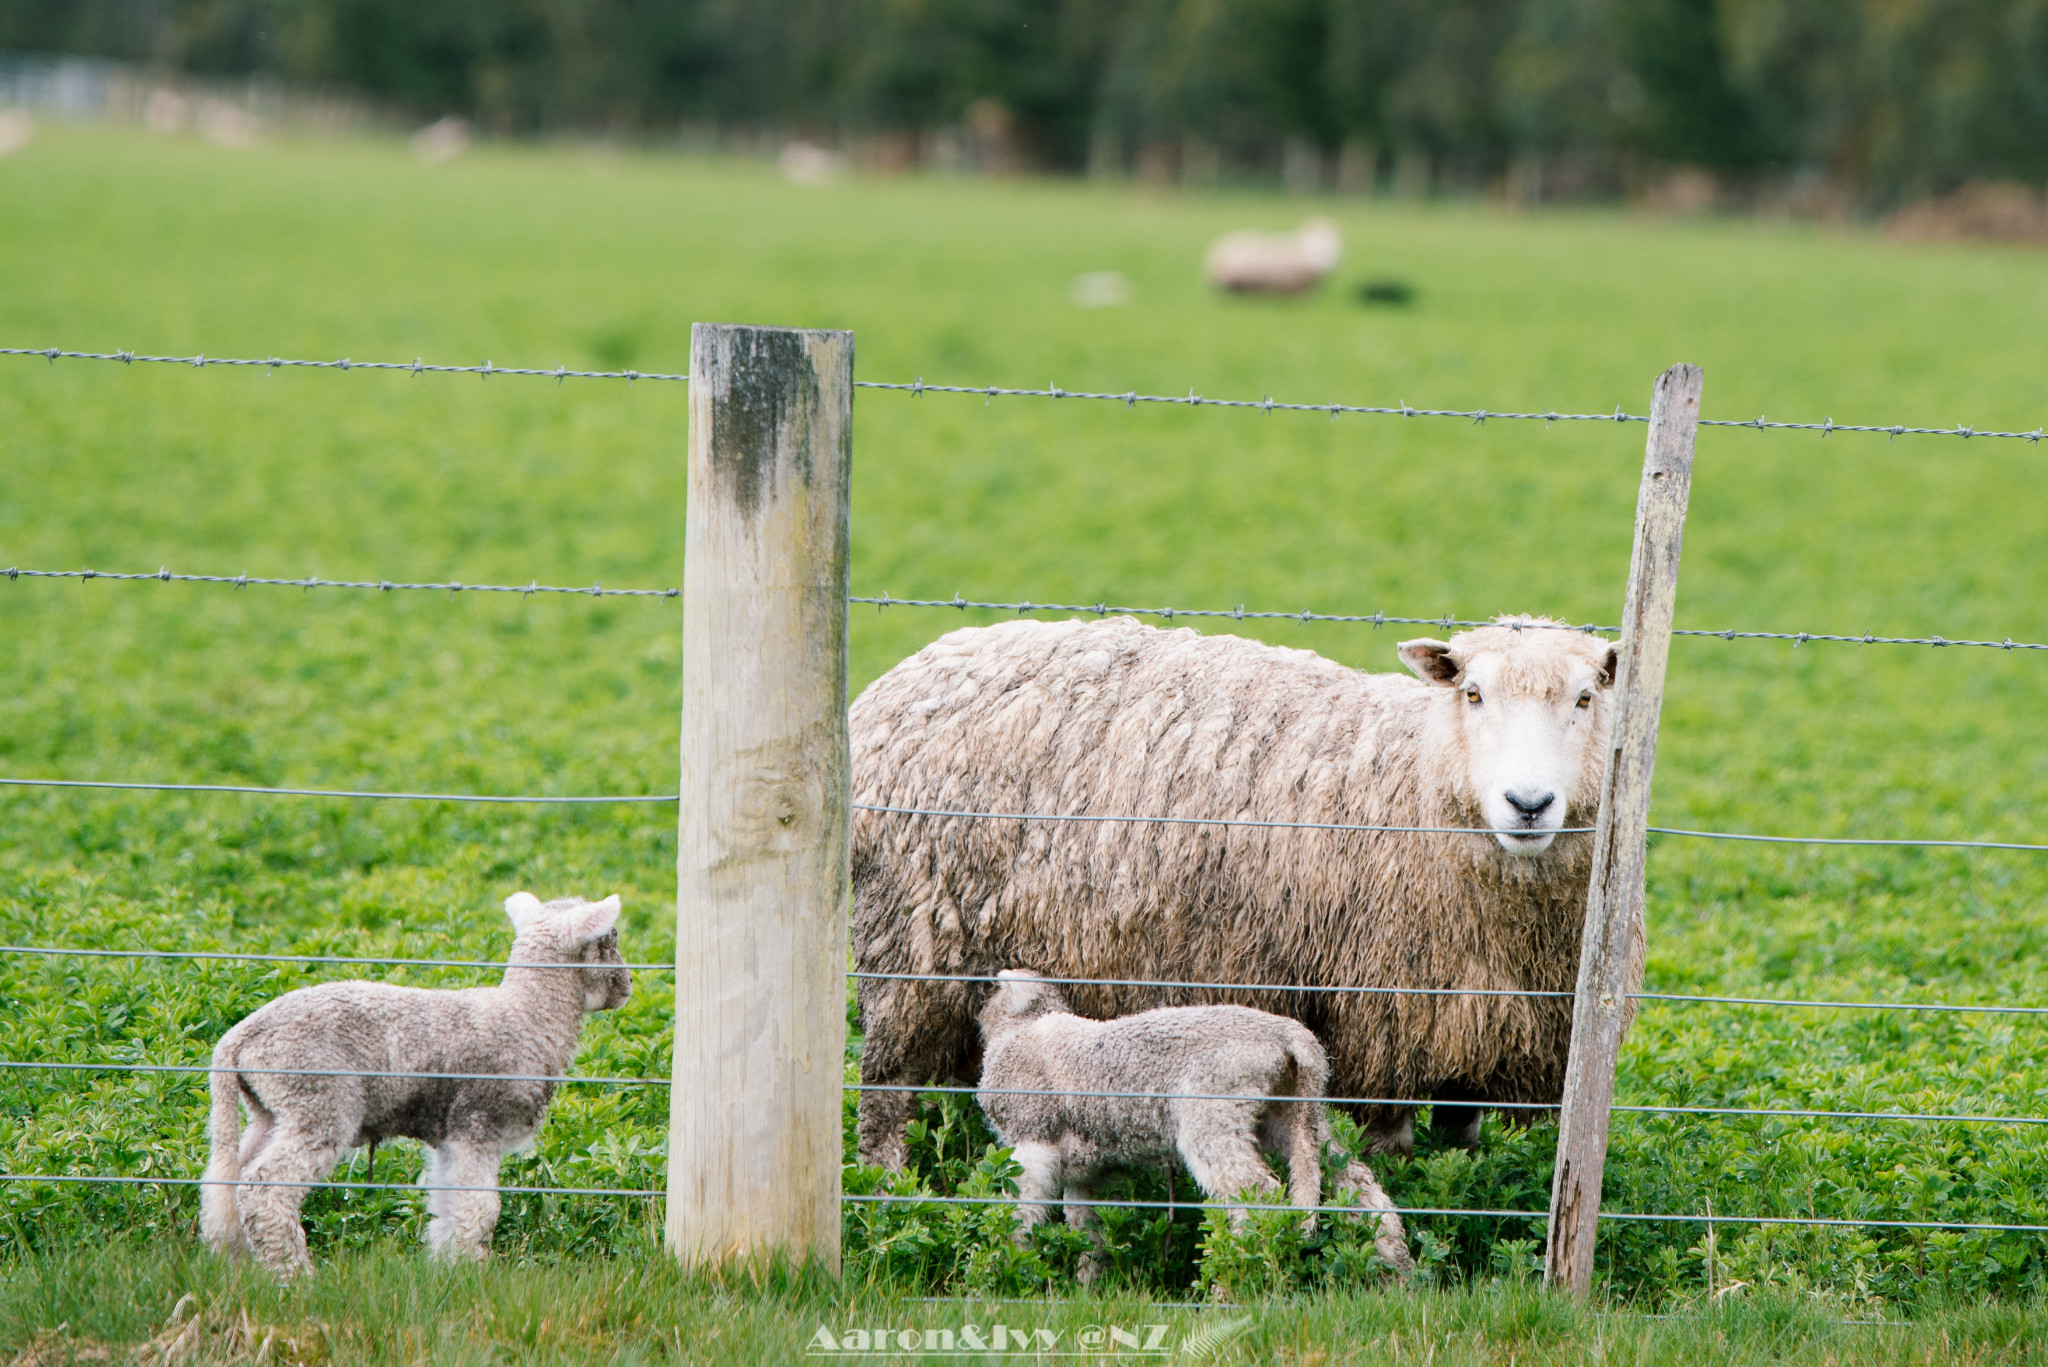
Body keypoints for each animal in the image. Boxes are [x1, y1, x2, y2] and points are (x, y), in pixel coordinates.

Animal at [201, 893, 630, 1278]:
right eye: (609, 939)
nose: (628, 983)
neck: (527, 1016)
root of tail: (240, 1036)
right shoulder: (478, 1123)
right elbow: (480, 1209)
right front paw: (471, 1274)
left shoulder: (450, 1137)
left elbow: (448, 1205)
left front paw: (447, 1270)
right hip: (316, 1101)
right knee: (263, 1188)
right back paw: (293, 1276)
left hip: (270, 1110)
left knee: (224, 1182)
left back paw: (238, 1262)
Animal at [843, 614, 1630, 1172]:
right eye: (1473, 693)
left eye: (1587, 697)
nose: (1528, 804)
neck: (1415, 776)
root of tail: (890, 687)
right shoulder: (1386, 1013)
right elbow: (1395, 1152)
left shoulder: (1477, 1026)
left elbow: (1460, 1150)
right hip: (910, 948)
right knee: (884, 1092)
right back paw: (888, 1191)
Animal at [974, 967, 1409, 1278]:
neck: (1022, 1031)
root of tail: (1292, 1038)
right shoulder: (1087, 1169)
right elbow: (1090, 1231)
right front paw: (1089, 1286)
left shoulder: (1033, 1139)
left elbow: (1019, 1214)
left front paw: (1006, 1269)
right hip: (1293, 1116)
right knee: (1359, 1185)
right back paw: (1395, 1271)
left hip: (1214, 1113)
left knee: (1257, 1193)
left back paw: (1235, 1278)